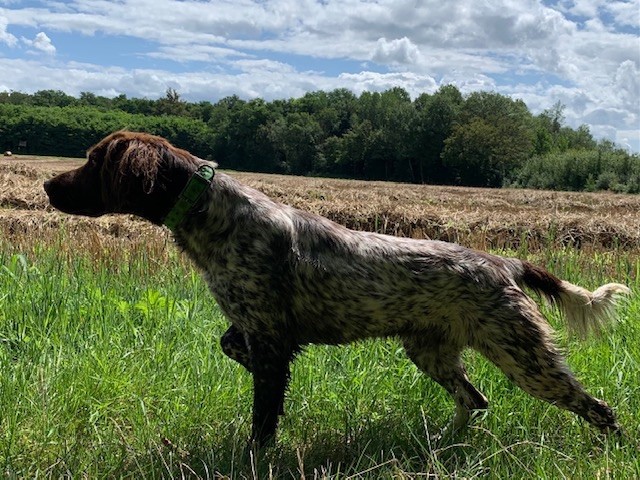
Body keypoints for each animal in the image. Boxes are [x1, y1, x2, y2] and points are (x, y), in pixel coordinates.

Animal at [44, 130, 630, 446]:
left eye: (93, 160)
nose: (47, 184)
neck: (212, 213)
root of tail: (503, 262)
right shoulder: (254, 331)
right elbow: (232, 347)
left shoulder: (271, 337)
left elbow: (263, 417)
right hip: (430, 351)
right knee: (476, 399)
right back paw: (444, 444)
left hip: (524, 358)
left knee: (600, 410)